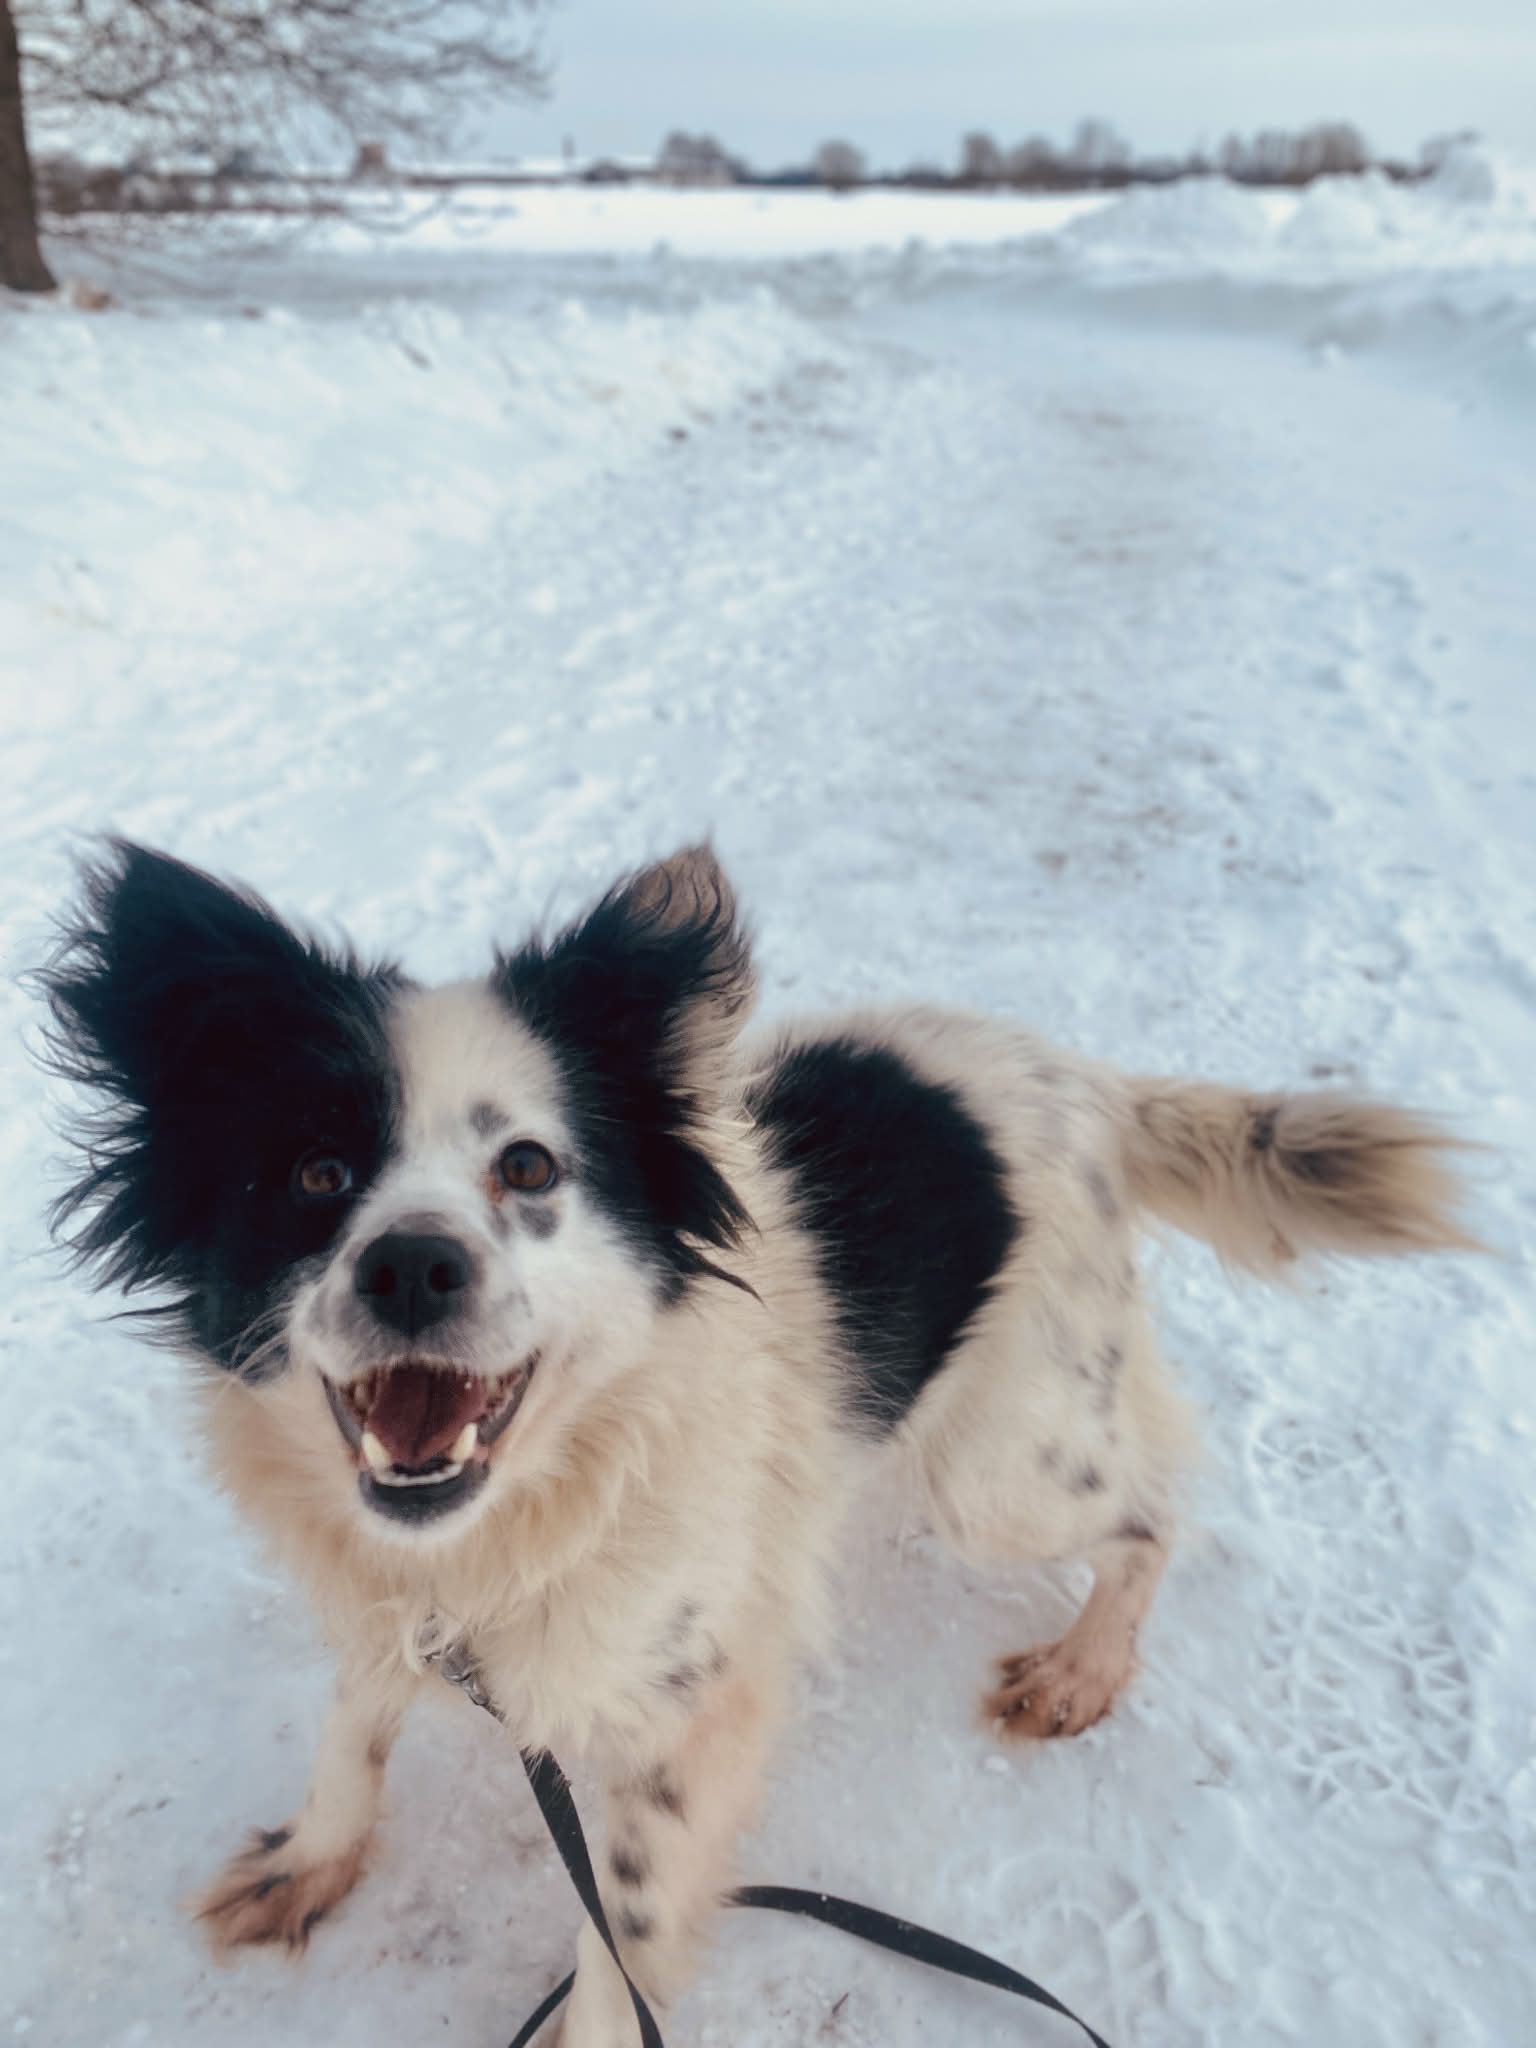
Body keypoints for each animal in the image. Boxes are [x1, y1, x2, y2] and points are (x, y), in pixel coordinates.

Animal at [41, 838, 1474, 2045]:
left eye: (528, 1167)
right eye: (315, 1175)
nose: (411, 1265)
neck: (530, 1497)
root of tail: (1079, 1080)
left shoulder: (690, 1714)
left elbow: (619, 1927)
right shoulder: (406, 1600)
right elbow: (352, 1721)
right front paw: (314, 1853)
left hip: (1002, 1470)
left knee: (1154, 1505)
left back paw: (1084, 1663)